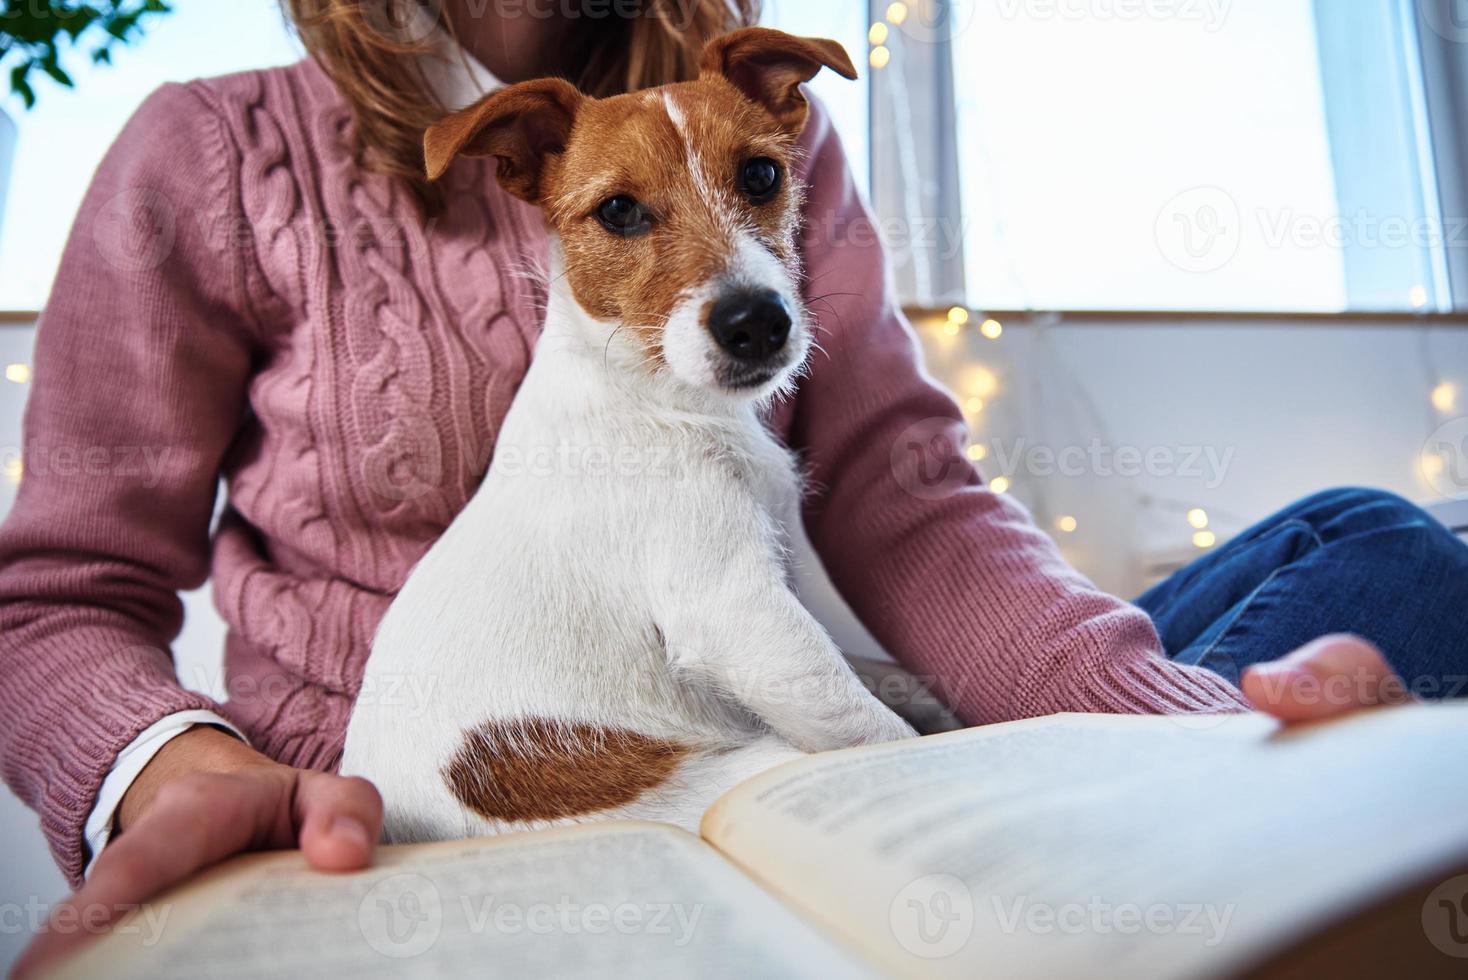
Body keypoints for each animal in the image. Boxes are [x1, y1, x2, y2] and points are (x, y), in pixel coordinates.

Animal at [342, 26, 916, 845]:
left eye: (762, 174)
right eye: (618, 211)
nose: (756, 322)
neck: (650, 395)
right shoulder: (741, 613)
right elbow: (875, 729)